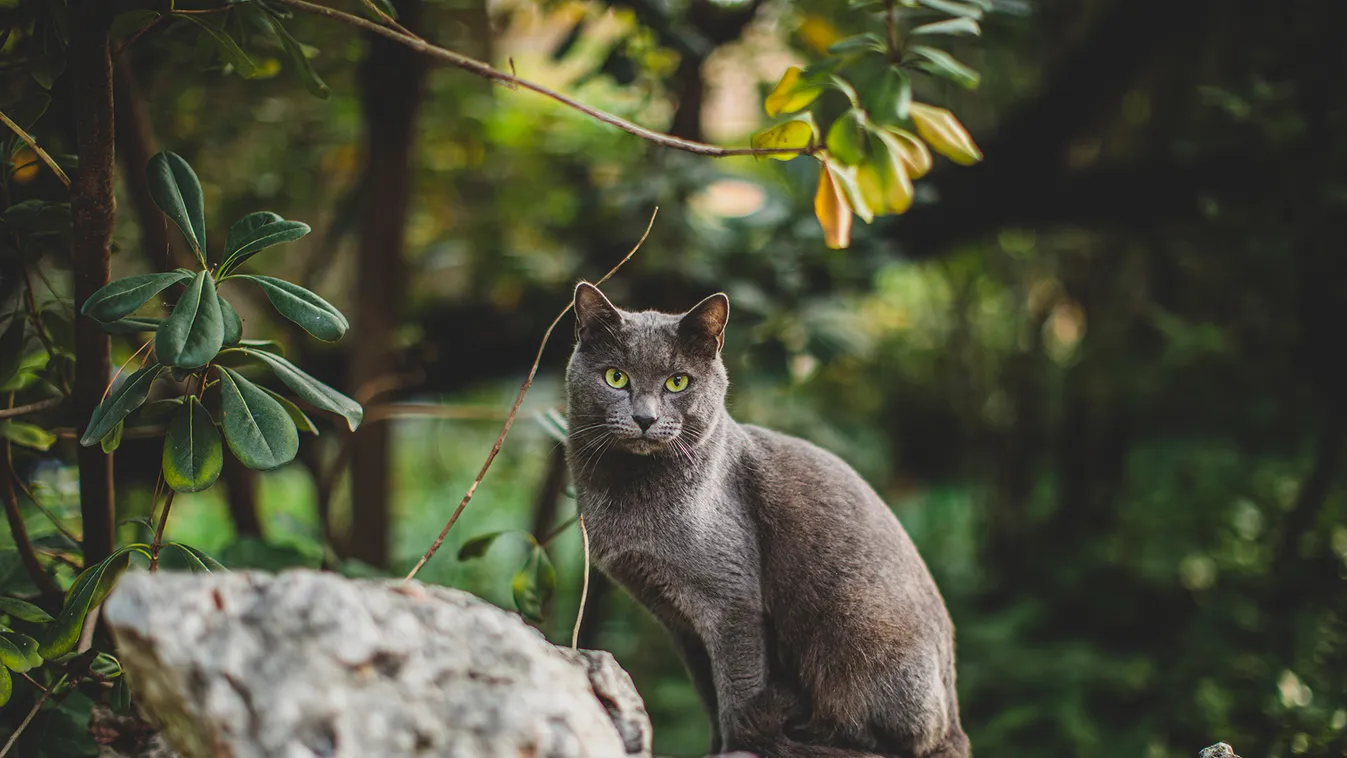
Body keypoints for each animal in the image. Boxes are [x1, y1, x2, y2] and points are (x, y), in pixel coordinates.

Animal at [565, 282, 969, 758]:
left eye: (677, 382)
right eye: (616, 377)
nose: (645, 419)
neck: (626, 491)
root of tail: (955, 725)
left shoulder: (732, 602)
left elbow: (736, 689)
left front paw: (736, 745)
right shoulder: (678, 622)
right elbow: (709, 692)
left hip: (849, 627)